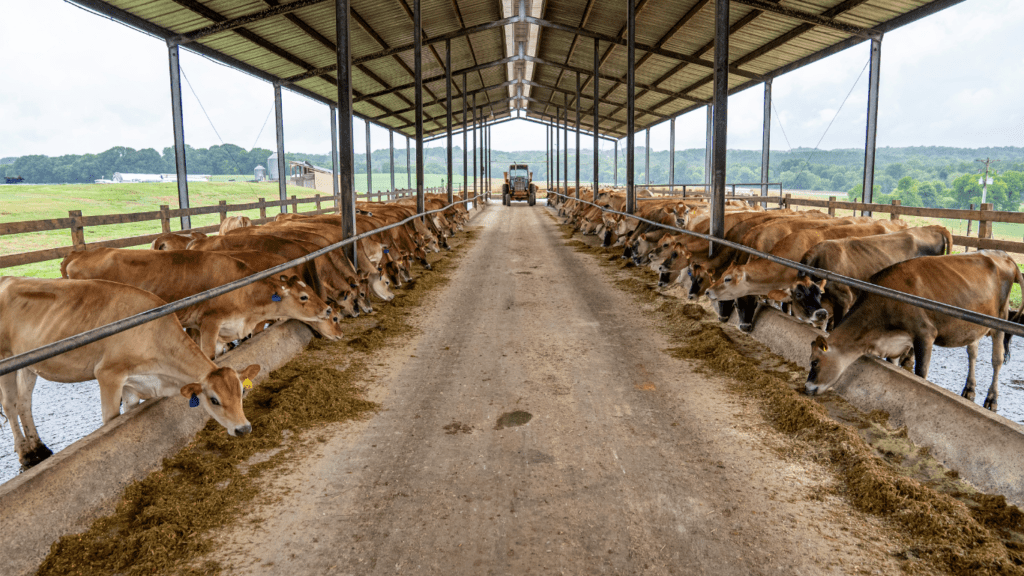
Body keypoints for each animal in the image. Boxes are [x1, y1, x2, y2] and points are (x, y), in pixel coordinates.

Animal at [806, 251, 1024, 412]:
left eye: (815, 362)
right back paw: (969, 388)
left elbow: (921, 372)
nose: (807, 388)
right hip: (974, 325)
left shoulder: (925, 334)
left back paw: (992, 399)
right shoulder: (895, 344)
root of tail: (1004, 255)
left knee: (997, 360)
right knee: (972, 353)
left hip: (1000, 321)